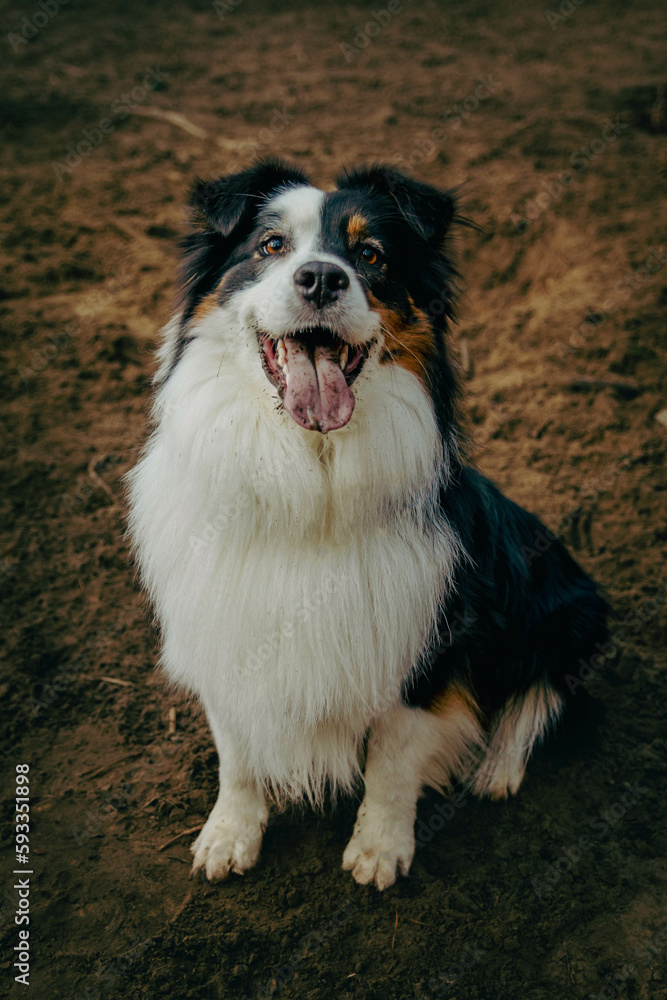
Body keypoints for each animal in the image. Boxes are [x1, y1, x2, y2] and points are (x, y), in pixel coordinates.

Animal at [126, 158, 612, 892]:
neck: (309, 473)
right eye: (270, 245)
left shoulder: (424, 645)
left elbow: (393, 758)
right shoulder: (225, 627)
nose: (322, 279)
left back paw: (498, 765)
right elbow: (236, 754)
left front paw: (380, 848)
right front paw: (229, 834)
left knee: (540, 690)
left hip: (566, 603)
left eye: (371, 255)